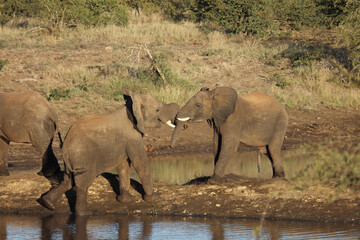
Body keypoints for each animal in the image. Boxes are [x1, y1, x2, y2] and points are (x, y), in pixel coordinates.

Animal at [41, 90, 179, 216]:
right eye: (157, 110)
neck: (132, 106)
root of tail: (66, 143)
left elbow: (123, 165)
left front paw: (125, 201)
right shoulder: (132, 136)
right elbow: (140, 162)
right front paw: (154, 197)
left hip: (71, 159)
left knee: (68, 180)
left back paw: (48, 203)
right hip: (82, 156)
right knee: (82, 184)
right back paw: (85, 213)